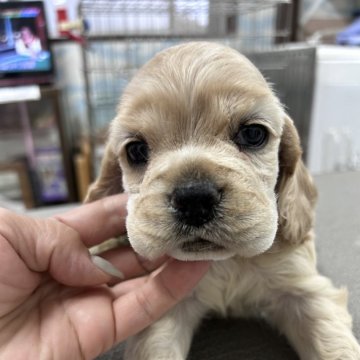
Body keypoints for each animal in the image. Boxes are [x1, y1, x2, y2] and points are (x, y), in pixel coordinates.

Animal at [86, 43, 358, 360]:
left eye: (253, 134)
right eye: (136, 150)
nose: (194, 200)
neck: (226, 261)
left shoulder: (303, 289)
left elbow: (335, 345)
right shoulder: (165, 308)